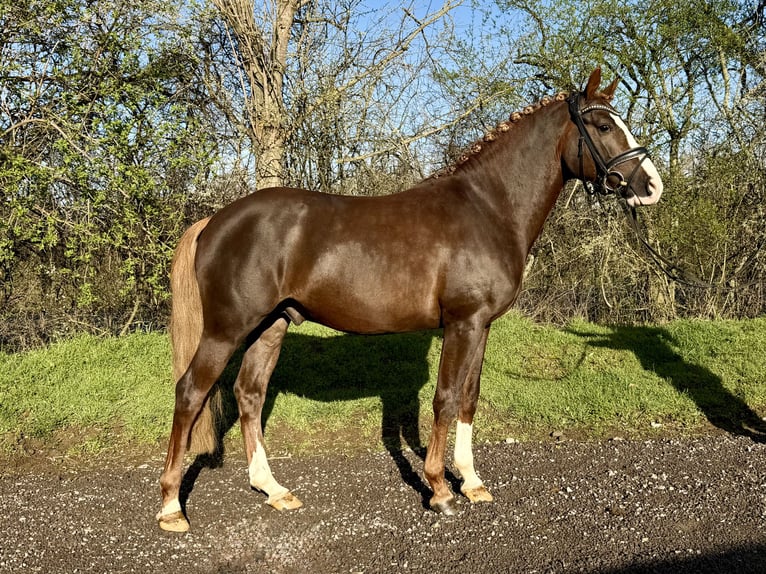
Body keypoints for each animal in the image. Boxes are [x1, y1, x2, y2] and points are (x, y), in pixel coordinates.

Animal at [157, 68, 663, 532]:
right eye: (603, 126)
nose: (652, 186)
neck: (488, 208)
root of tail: (213, 221)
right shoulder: (462, 323)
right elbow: (445, 399)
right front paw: (439, 488)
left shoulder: (481, 326)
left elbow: (469, 399)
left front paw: (472, 482)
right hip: (227, 329)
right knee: (190, 393)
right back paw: (171, 507)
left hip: (271, 325)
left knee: (250, 394)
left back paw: (274, 489)